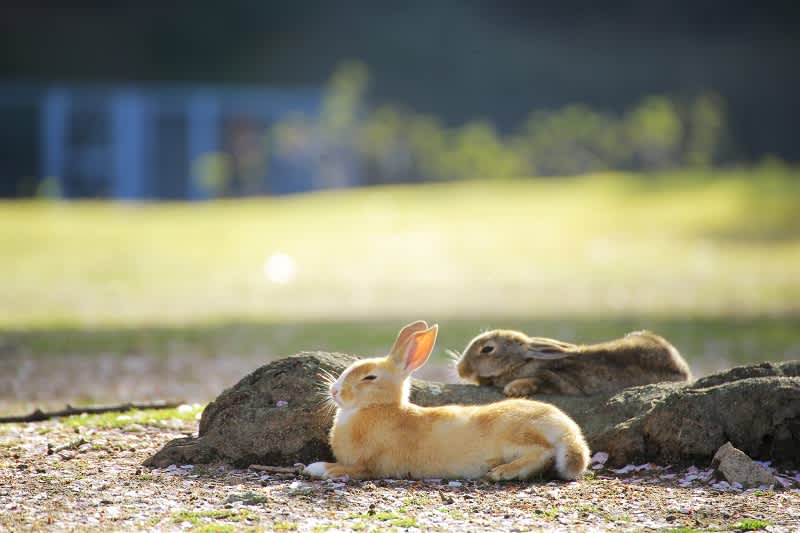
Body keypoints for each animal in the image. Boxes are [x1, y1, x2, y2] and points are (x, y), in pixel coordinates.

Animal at [303, 320, 590, 482]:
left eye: (369, 377)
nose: (335, 391)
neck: (380, 407)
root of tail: (567, 429)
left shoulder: (369, 465)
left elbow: (348, 468)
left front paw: (317, 468)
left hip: (516, 435)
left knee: (543, 452)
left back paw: (503, 472)